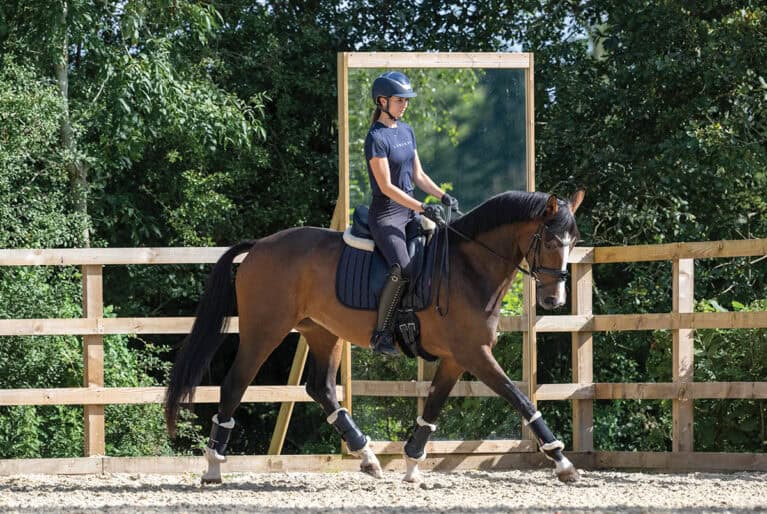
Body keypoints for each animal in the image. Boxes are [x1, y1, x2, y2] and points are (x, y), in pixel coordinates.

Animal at [165, 189, 585, 484]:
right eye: (550, 242)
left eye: (575, 242)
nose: (554, 299)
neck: (468, 267)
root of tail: (260, 246)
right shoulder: (475, 354)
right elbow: (521, 400)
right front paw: (563, 461)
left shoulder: (455, 358)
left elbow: (432, 408)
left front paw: (412, 464)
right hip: (264, 330)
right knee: (235, 384)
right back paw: (213, 467)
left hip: (323, 333)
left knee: (321, 388)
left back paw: (367, 456)